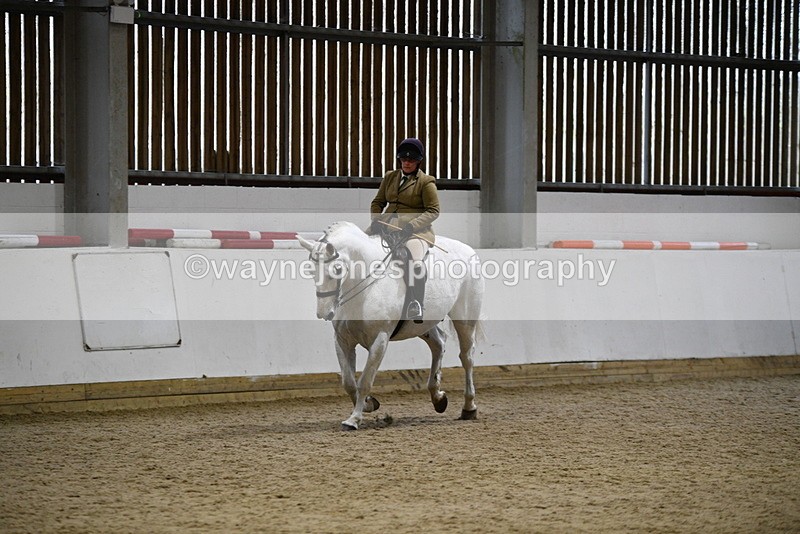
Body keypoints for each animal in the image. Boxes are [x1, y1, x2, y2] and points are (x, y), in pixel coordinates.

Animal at [297, 221, 485, 431]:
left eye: (337, 269)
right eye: (311, 270)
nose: (324, 313)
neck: (364, 286)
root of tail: (469, 250)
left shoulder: (379, 339)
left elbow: (365, 381)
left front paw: (354, 419)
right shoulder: (342, 340)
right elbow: (348, 382)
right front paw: (369, 404)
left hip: (465, 318)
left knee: (467, 357)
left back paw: (469, 407)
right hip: (421, 325)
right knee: (438, 344)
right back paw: (438, 398)